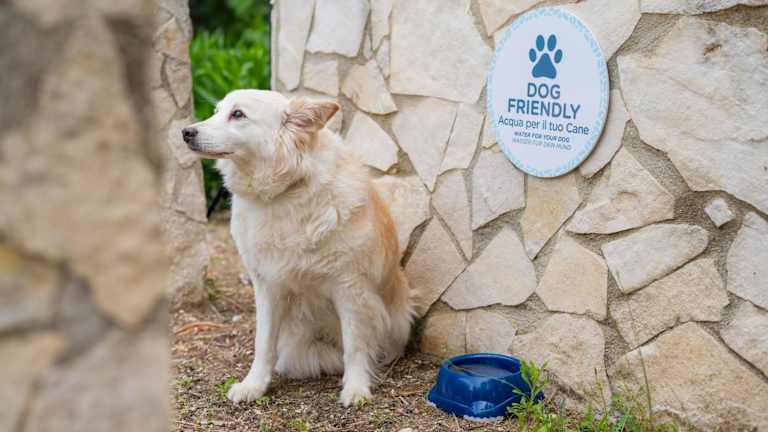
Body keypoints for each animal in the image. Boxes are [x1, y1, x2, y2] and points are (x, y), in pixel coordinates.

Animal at [182, 90, 416, 406]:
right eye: (217, 111)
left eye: (238, 114)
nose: (186, 132)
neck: (284, 193)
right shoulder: (268, 287)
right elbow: (263, 343)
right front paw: (254, 385)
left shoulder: (350, 287)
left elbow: (355, 346)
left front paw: (356, 388)